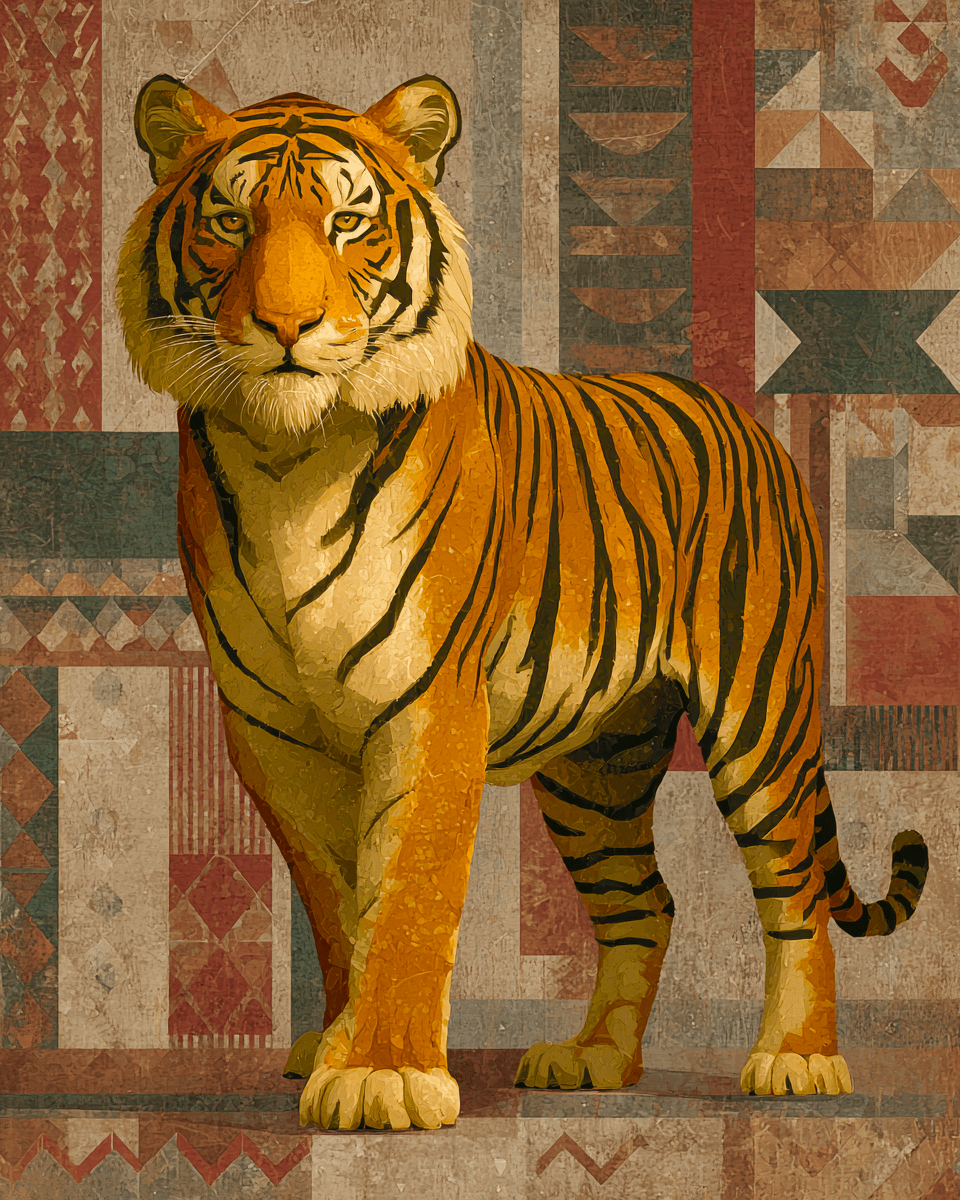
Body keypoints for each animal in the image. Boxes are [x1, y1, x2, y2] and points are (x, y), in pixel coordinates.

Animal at [118, 73, 929, 1131]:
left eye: (346, 222)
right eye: (228, 220)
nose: (288, 329)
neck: (287, 455)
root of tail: (740, 414)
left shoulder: (430, 703)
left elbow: (407, 895)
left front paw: (383, 1074)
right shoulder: (271, 731)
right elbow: (338, 900)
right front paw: (333, 1045)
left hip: (760, 716)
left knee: (793, 896)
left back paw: (798, 1059)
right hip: (596, 767)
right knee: (646, 902)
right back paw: (595, 1058)